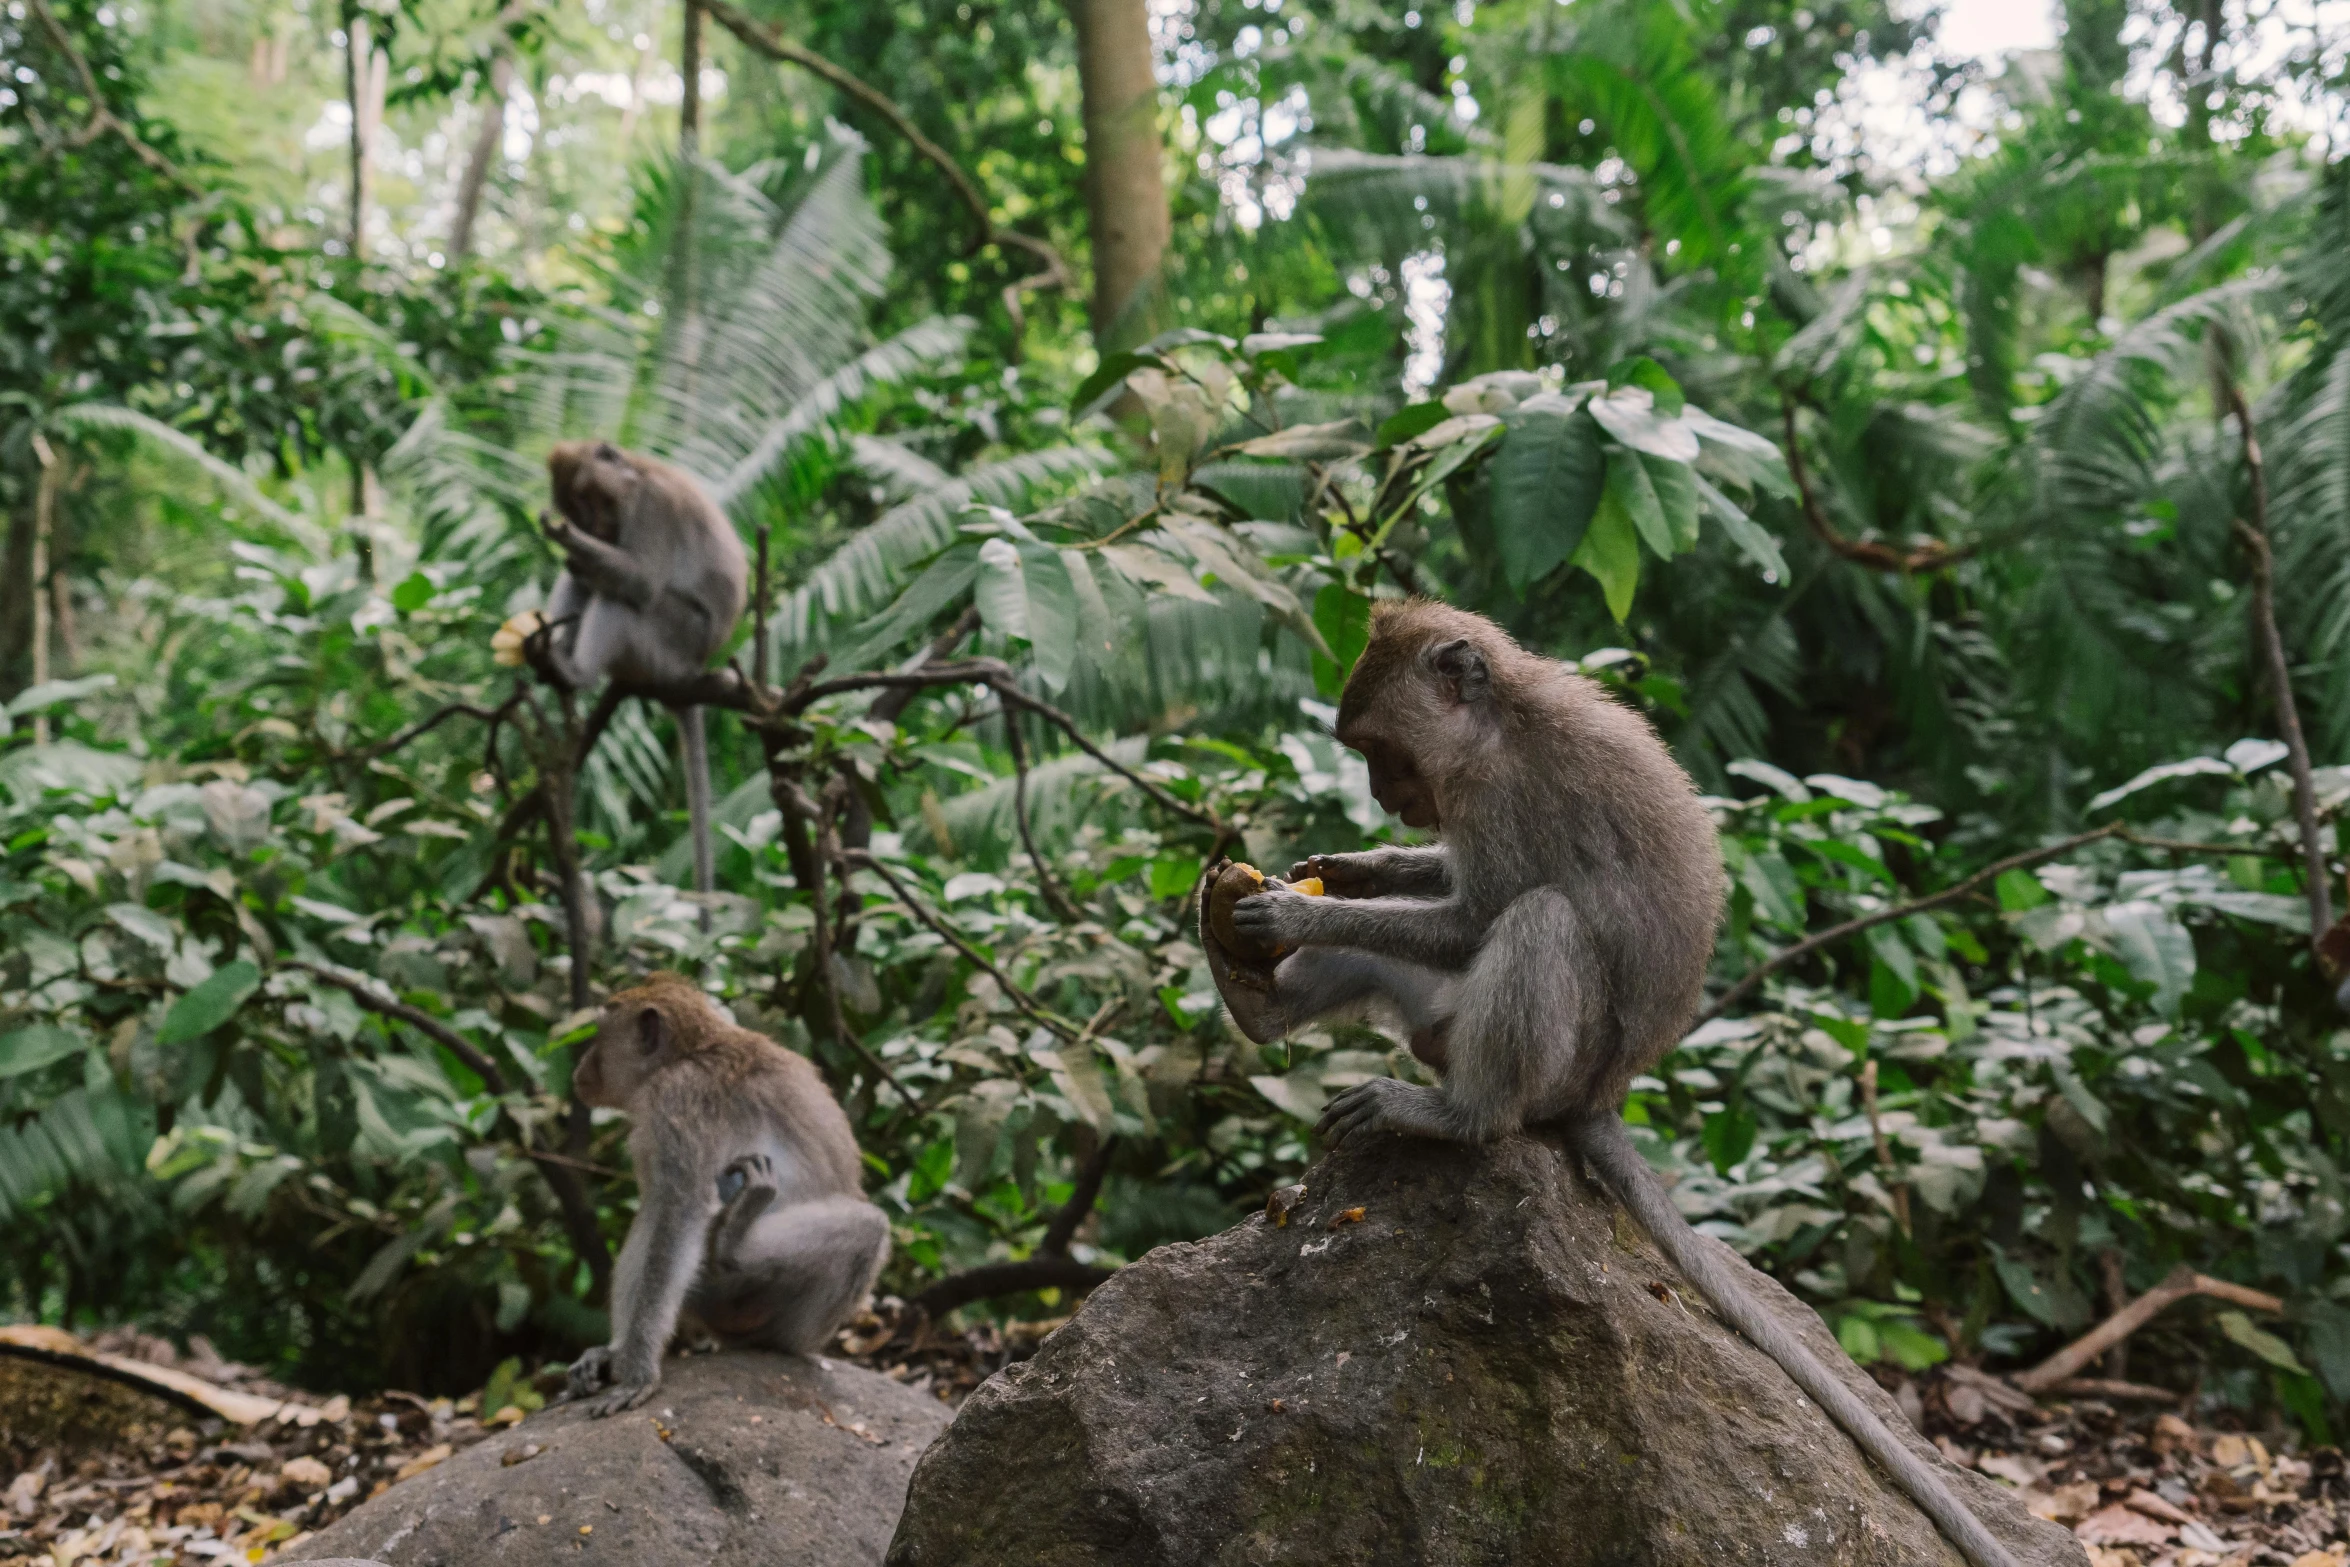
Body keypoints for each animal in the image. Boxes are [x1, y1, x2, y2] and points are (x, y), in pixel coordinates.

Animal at [559, 967, 888, 1418]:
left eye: (597, 1037)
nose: (580, 1068)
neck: (694, 1050)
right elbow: (658, 1213)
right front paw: (616, 1353)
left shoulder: (676, 1100)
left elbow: (679, 1213)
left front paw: (639, 1372)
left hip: (749, 1308)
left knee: (868, 1229)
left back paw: (744, 1265)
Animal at [1203, 601, 2030, 1567]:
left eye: (1379, 749)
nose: (1378, 796)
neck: (1498, 721)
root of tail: (1604, 1095)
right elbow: (1440, 885)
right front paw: (1358, 866)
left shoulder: (1498, 795)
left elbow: (1472, 919)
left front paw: (1301, 910)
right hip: (1437, 1018)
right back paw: (1258, 1003)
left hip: (1556, 1061)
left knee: (1542, 921)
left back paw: (1456, 1115)